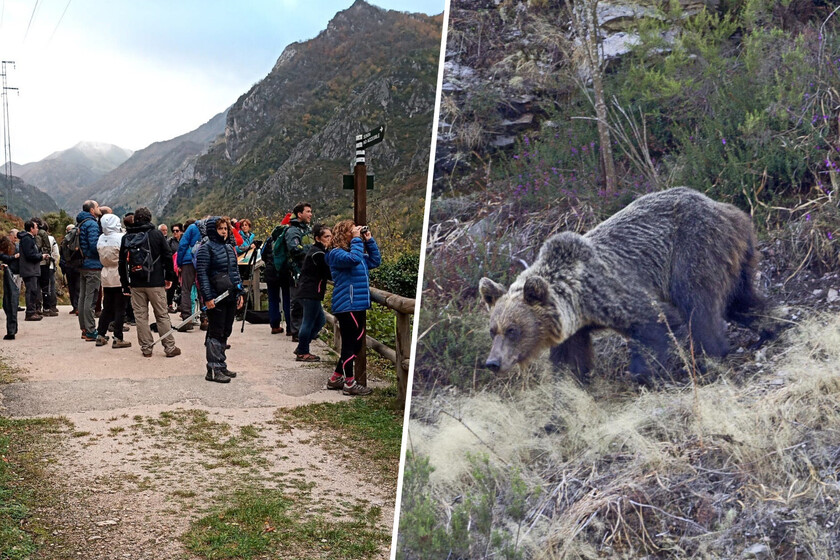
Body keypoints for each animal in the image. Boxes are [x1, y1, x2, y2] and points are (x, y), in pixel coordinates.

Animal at [478, 187, 763, 385]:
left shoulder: (610, 292)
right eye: (493, 331)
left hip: (693, 249)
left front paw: (643, 373)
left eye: (513, 330)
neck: (577, 301)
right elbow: (570, 363)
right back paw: (767, 325)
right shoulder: (573, 329)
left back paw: (710, 356)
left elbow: (655, 322)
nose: (492, 362)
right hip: (735, 255)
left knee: (698, 304)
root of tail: (726, 208)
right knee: (741, 298)